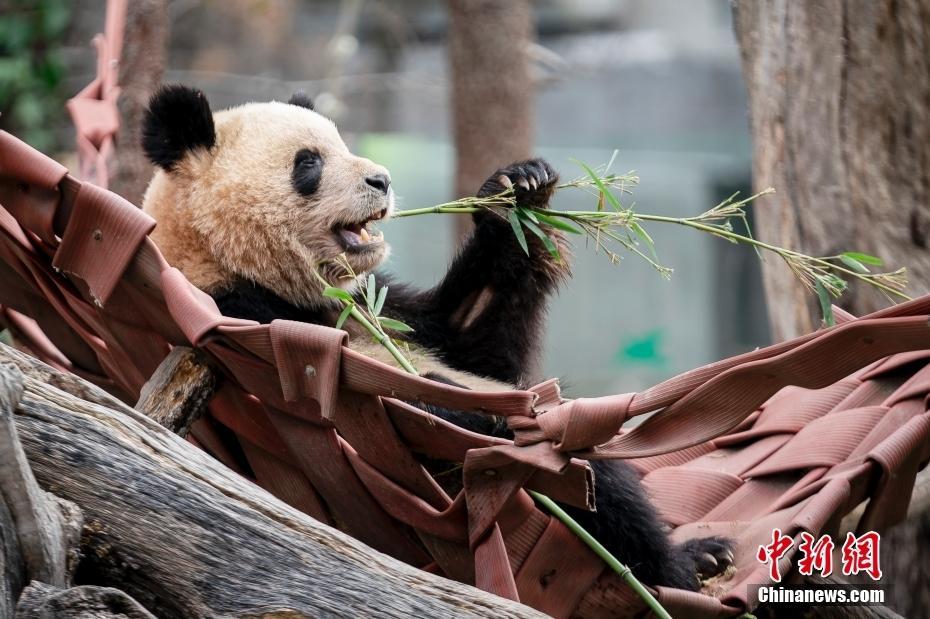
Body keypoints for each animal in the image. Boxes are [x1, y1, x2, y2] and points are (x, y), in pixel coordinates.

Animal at [138, 83, 732, 592]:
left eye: (341, 144)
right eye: (308, 163)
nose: (381, 180)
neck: (221, 257)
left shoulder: (375, 301)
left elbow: (472, 344)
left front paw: (520, 189)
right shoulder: (246, 318)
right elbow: (395, 406)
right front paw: (476, 415)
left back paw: (702, 556)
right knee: (593, 479)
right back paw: (677, 568)